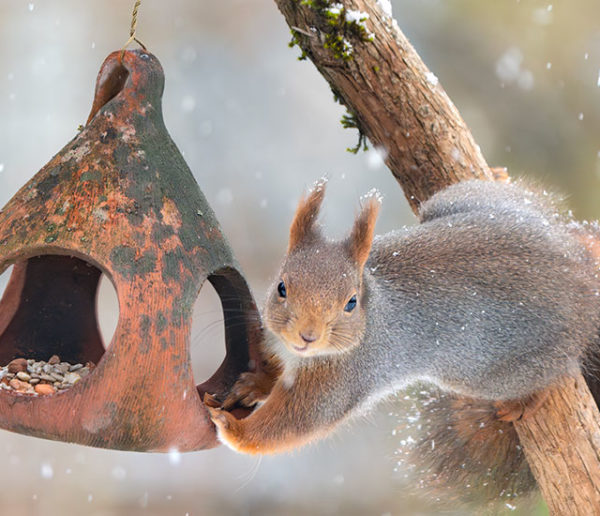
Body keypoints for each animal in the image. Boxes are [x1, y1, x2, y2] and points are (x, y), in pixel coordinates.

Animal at [205, 178, 600, 468]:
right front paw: (253, 384)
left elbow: (291, 424)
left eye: (350, 302)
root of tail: (575, 269)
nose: (307, 336)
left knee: (554, 372)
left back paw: (528, 399)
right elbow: (271, 372)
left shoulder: (342, 381)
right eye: (282, 287)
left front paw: (233, 429)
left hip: (492, 371)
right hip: (462, 200)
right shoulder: (276, 342)